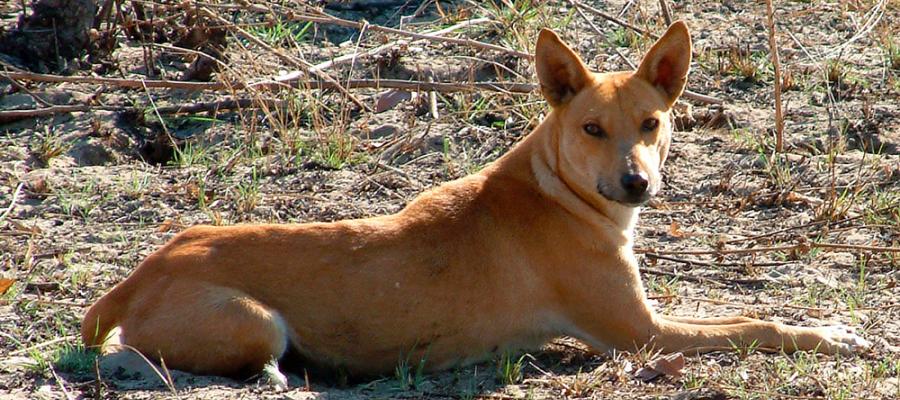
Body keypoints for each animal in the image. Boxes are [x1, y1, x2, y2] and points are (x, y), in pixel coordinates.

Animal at [81, 21, 868, 378]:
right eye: (592, 128)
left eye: (651, 123)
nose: (637, 183)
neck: (558, 189)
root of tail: (138, 274)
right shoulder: (640, 333)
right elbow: (756, 323)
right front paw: (829, 337)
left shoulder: (648, 319)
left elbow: (748, 313)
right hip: (256, 324)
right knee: (146, 353)